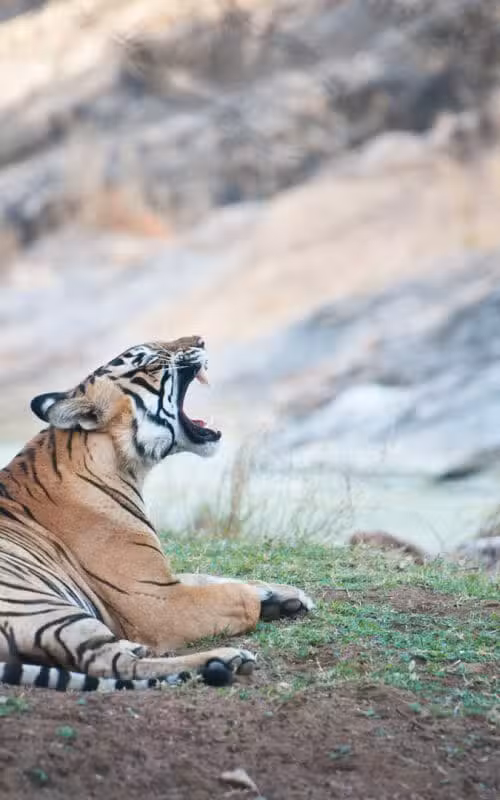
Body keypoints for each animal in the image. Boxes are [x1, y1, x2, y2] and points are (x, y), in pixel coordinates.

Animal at [0, 336, 313, 691]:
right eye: (149, 360)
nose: (201, 339)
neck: (125, 464)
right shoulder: (155, 598)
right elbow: (239, 598)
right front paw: (262, 600)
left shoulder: (163, 577)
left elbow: (206, 576)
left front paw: (285, 595)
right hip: (44, 605)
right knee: (115, 665)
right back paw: (224, 660)